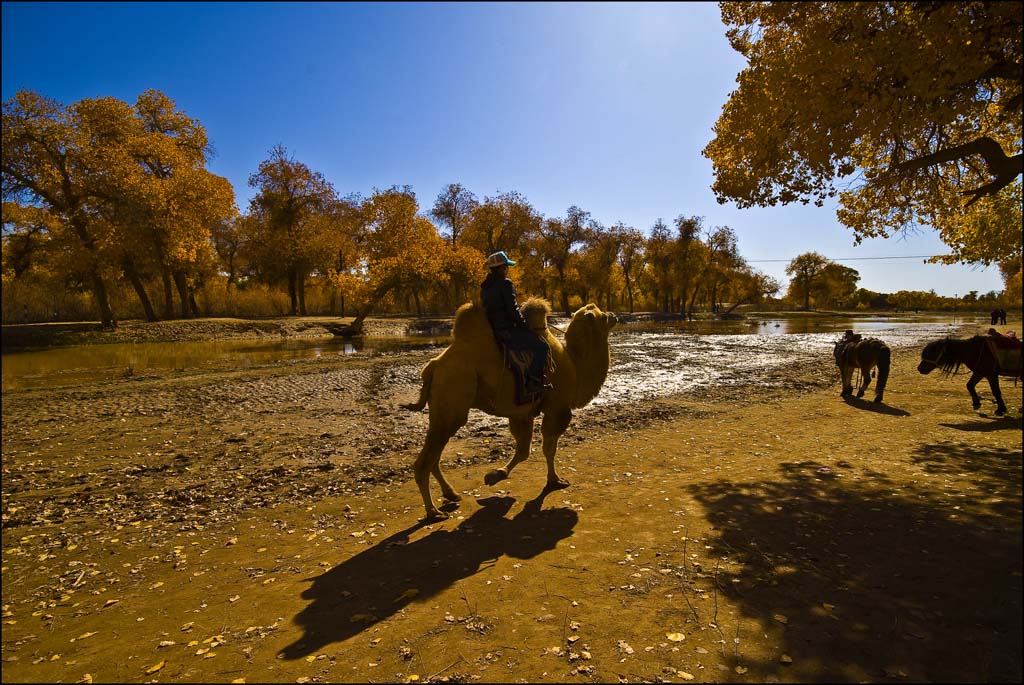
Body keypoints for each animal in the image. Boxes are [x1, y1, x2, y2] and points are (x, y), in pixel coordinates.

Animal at [403, 296, 618, 518]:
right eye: (602, 316)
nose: (614, 315)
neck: (576, 369)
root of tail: (434, 365)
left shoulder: (523, 413)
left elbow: (523, 450)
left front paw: (495, 475)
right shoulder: (557, 408)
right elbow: (549, 448)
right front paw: (555, 480)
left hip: (443, 409)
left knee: (435, 453)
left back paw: (451, 494)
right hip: (453, 397)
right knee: (427, 459)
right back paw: (433, 511)